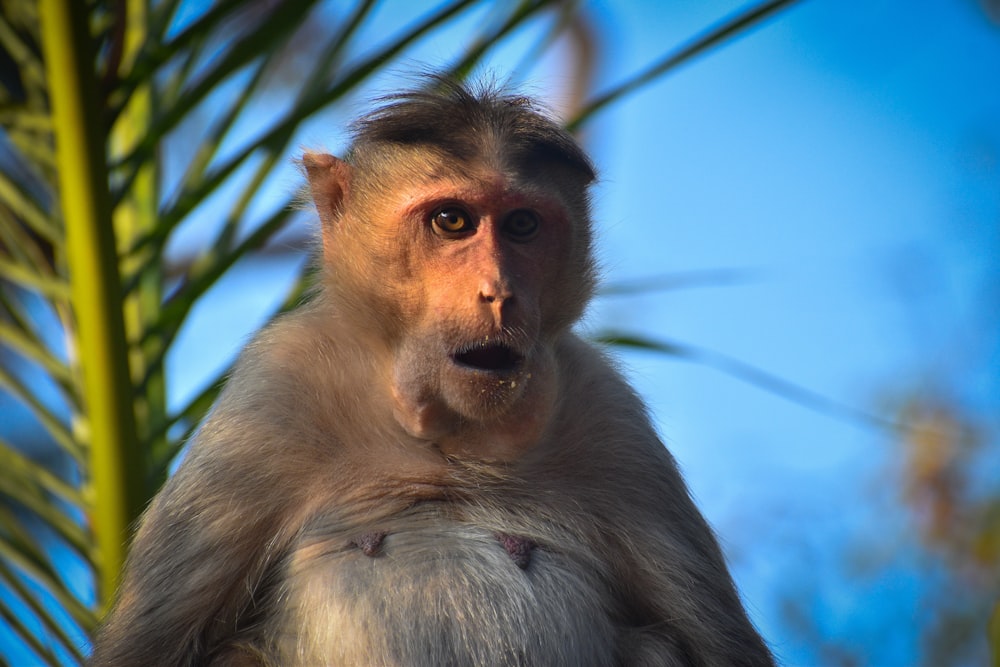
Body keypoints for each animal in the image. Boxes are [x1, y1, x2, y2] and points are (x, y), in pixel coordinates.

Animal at [90, 79, 776, 667]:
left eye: (523, 225)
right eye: (452, 221)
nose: (499, 293)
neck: (448, 435)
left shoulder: (610, 415)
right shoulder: (270, 399)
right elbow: (147, 647)